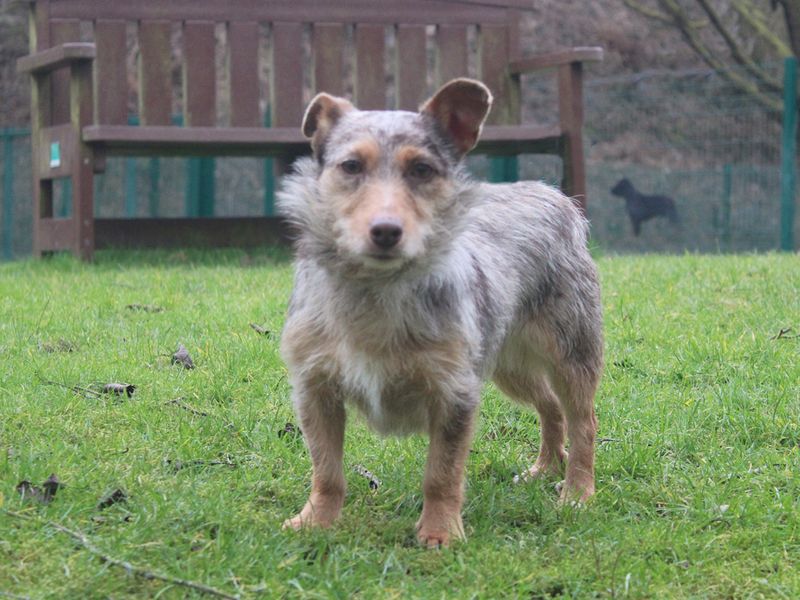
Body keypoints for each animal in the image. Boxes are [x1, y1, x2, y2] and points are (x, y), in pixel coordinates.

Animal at [278, 77, 604, 548]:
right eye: (351, 166)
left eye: (422, 170)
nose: (386, 231)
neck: (377, 291)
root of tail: (552, 194)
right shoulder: (315, 389)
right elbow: (326, 471)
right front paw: (316, 522)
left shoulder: (455, 394)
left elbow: (442, 474)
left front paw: (440, 532)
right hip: (508, 367)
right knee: (549, 407)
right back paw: (545, 468)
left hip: (571, 356)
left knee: (583, 422)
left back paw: (577, 491)